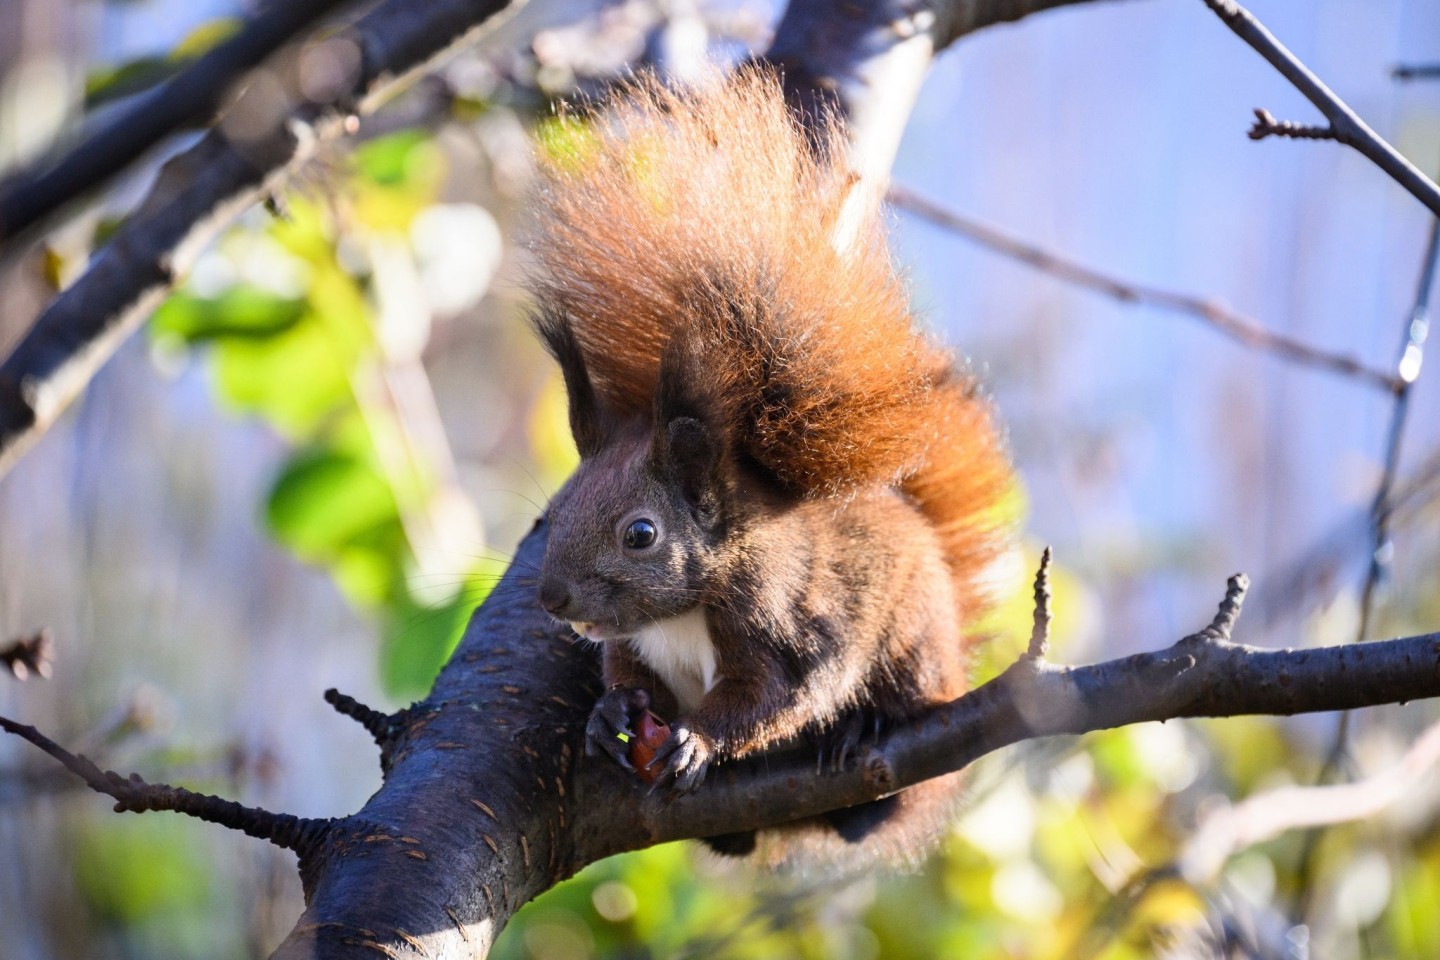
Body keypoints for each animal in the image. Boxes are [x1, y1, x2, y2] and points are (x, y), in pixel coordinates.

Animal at [524, 63, 1008, 869]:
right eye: (550, 515)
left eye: (641, 535)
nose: (553, 599)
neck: (682, 610)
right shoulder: (633, 644)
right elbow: (628, 674)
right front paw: (609, 713)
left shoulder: (782, 620)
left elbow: (782, 694)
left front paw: (697, 740)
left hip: (914, 643)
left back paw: (866, 734)